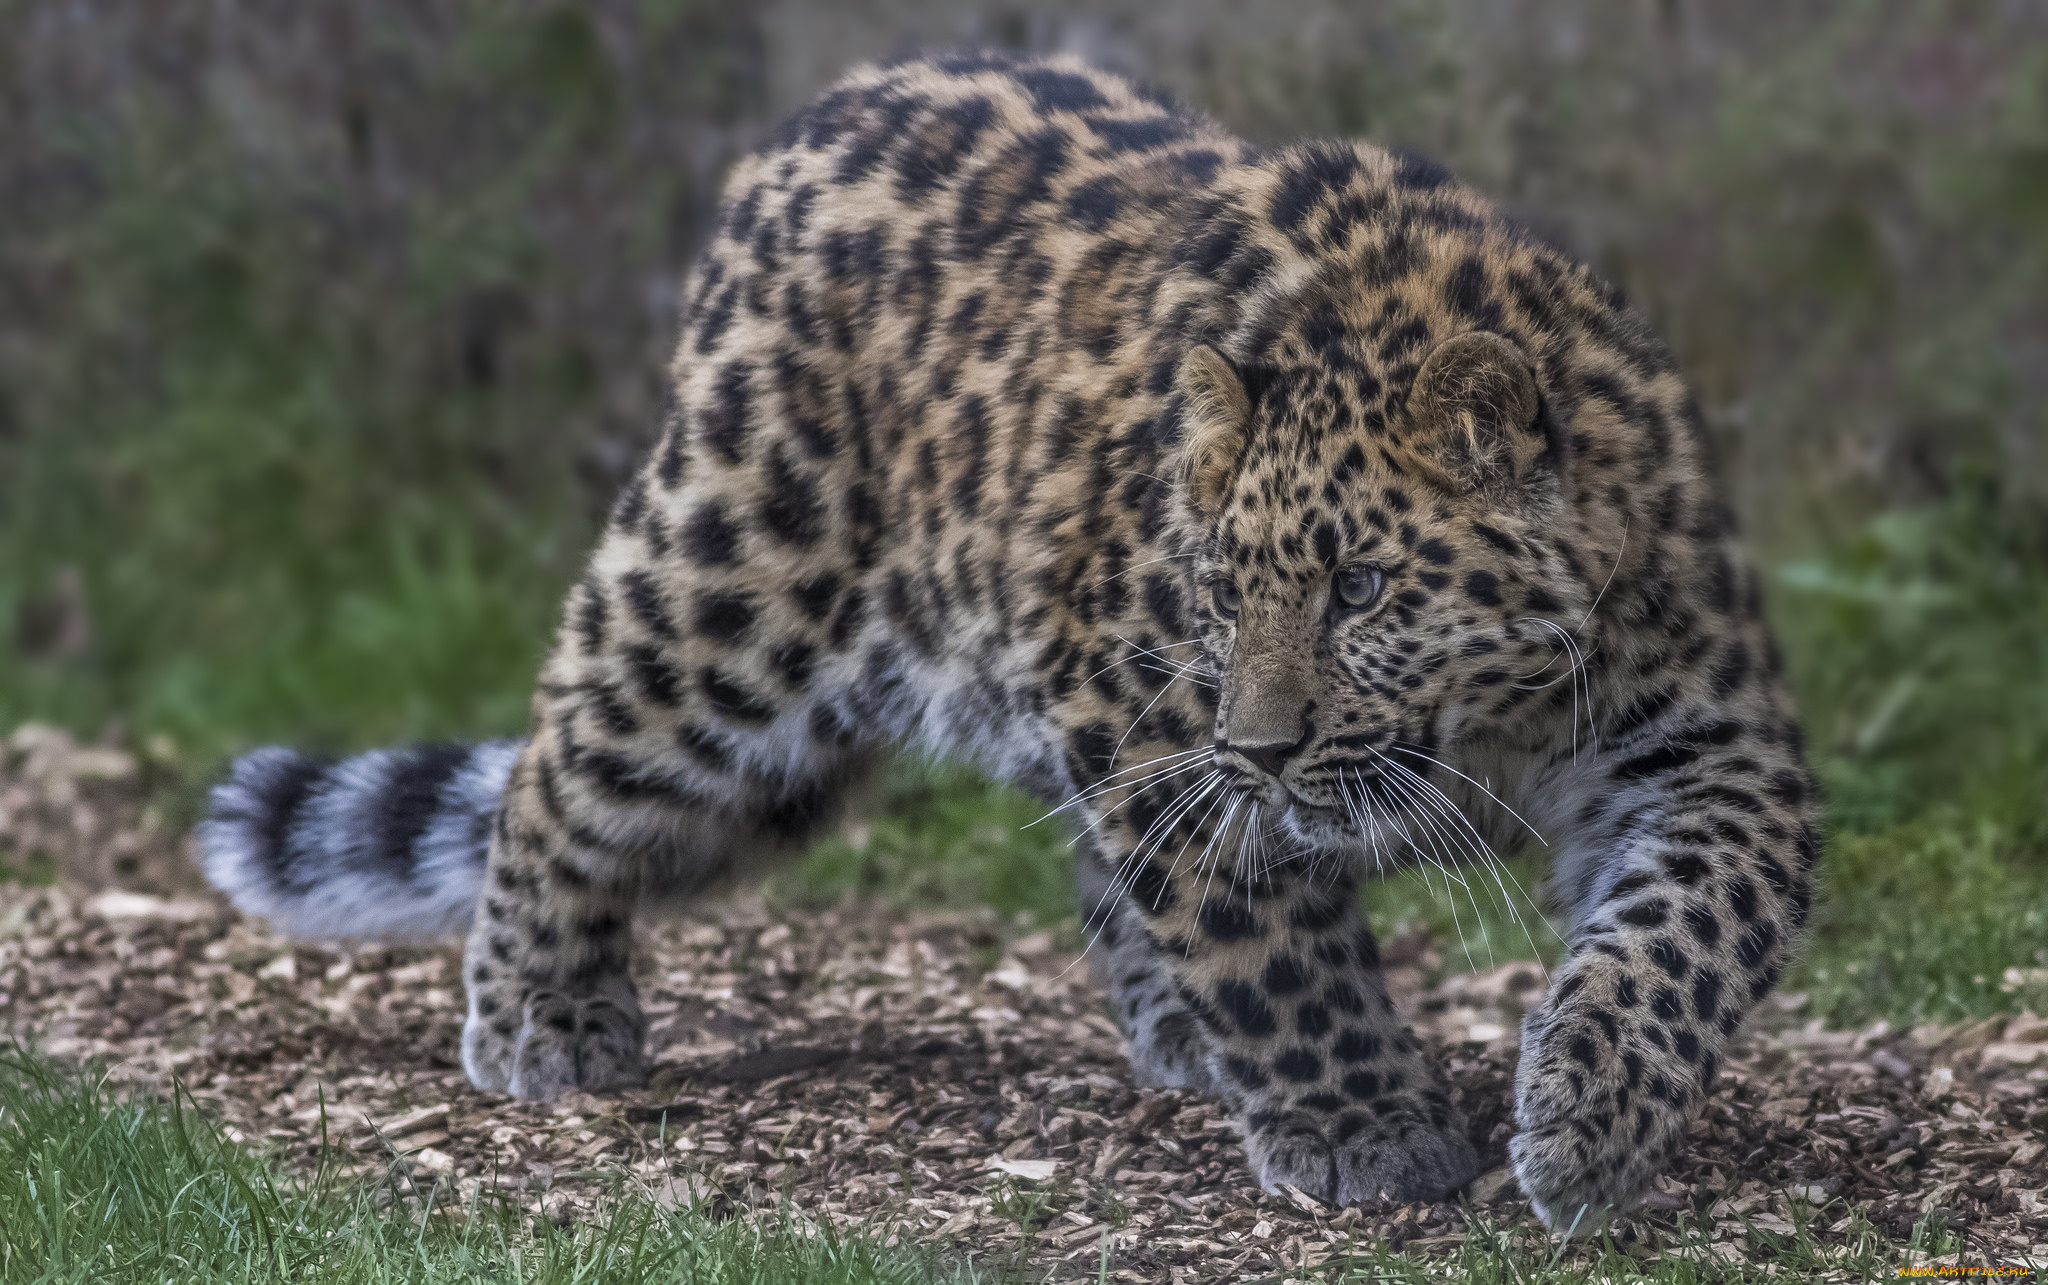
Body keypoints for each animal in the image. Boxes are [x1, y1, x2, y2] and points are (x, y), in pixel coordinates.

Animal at [199, 52, 1818, 1237]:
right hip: (737, 607)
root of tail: (815, 120)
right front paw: (1360, 1124)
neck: (1494, 722)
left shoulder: (1712, 743)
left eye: (1361, 587)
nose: (1262, 746)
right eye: (1224, 588)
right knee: (566, 755)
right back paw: (542, 1015)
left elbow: (1690, 928)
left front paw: (1590, 1117)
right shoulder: (1151, 712)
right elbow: (1272, 949)